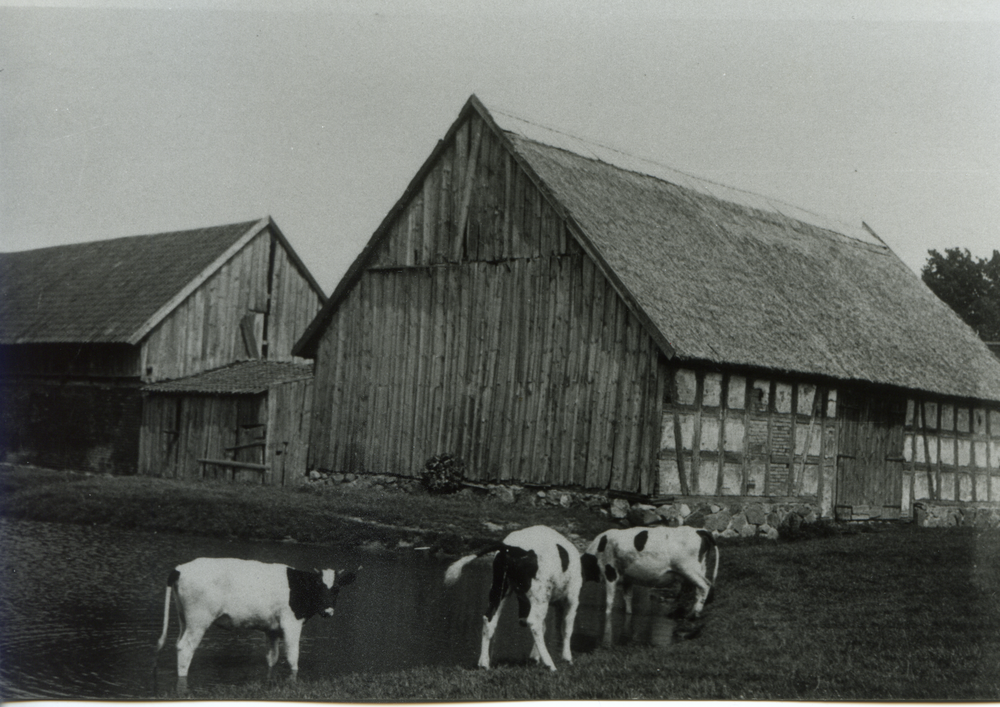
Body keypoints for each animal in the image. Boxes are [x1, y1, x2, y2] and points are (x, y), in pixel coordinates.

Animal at [448, 524, 584, 676]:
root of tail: (510, 547)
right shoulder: (572, 598)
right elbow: (566, 628)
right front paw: (567, 658)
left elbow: (546, 627)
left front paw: (535, 657)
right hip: (540, 594)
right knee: (534, 622)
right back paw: (550, 665)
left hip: (499, 589)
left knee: (489, 619)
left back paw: (484, 663)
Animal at [580, 524, 720, 648]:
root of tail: (699, 530)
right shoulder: (628, 579)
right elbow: (628, 599)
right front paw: (629, 614)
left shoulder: (610, 574)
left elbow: (609, 602)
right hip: (701, 567)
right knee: (699, 589)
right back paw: (691, 613)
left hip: (688, 568)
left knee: (705, 585)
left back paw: (694, 614)